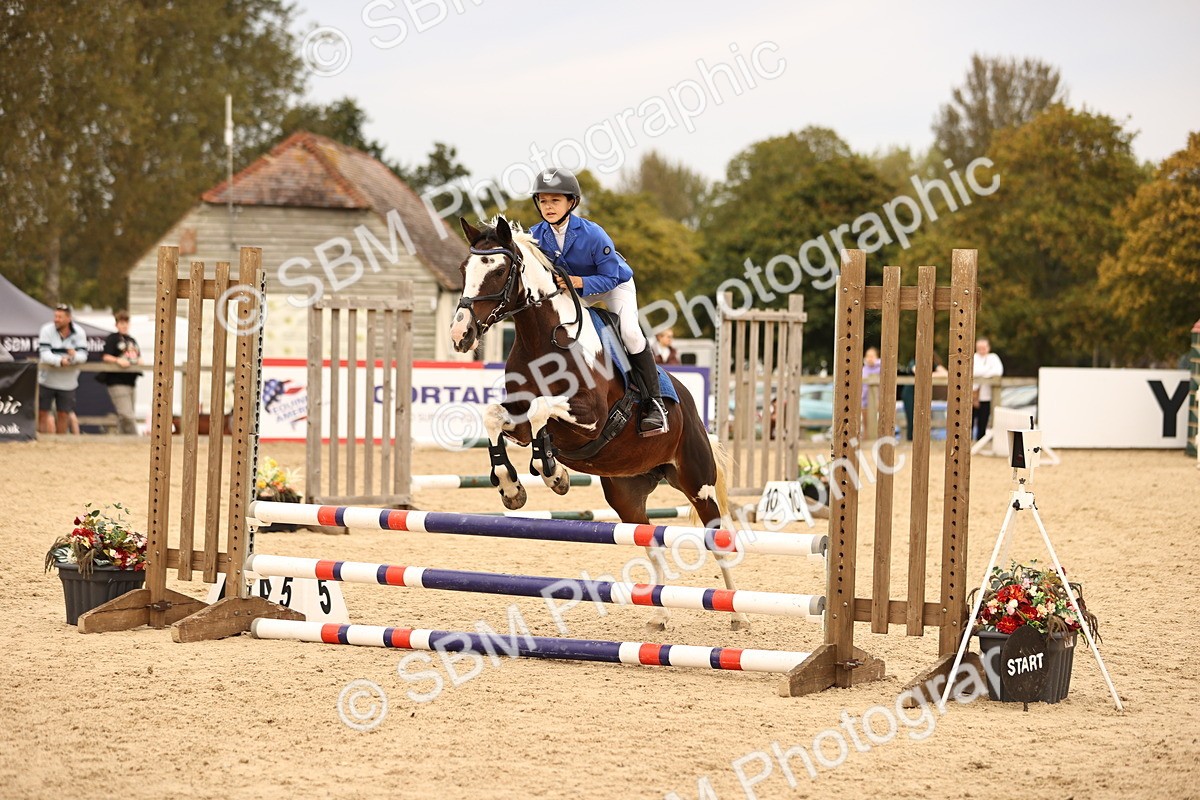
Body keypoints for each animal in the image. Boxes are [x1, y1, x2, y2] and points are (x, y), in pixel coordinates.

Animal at [449, 216, 748, 630]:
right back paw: (659, 615)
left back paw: (737, 614)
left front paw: (551, 473)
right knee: (650, 541)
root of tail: (691, 409)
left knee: (717, 538)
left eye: (499, 271)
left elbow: (542, 410)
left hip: (697, 482)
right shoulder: (519, 419)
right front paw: (513, 487)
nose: (460, 334)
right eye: (465, 270)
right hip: (627, 494)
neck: (545, 339)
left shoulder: (590, 417)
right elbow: (497, 417)